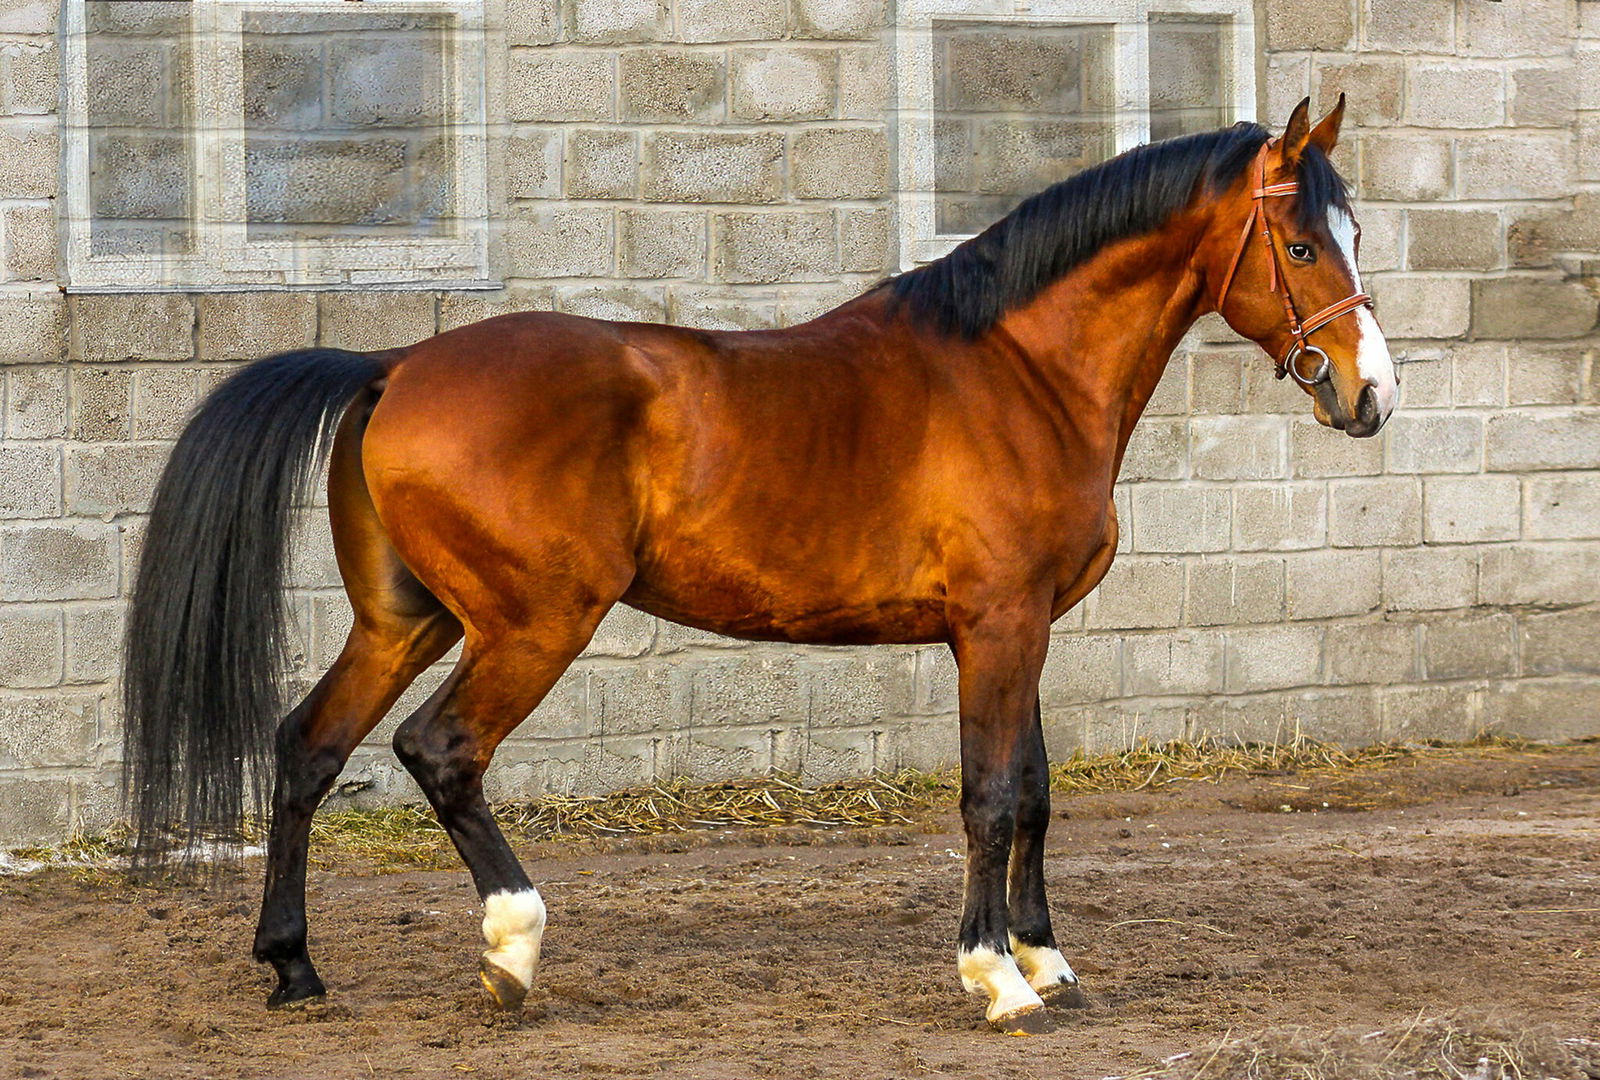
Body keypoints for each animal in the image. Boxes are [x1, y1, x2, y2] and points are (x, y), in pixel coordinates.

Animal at [124, 96, 1396, 1034]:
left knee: (309, 748)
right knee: (440, 752)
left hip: (409, 619)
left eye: (1354, 236)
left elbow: (1033, 791)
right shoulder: (998, 626)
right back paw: (512, 952)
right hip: (533, 623)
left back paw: (294, 968)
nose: (1368, 393)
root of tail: (391, 366)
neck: (1016, 371)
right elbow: (989, 797)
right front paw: (994, 978)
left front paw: (1048, 959)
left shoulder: (1022, 627)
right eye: (1296, 243)